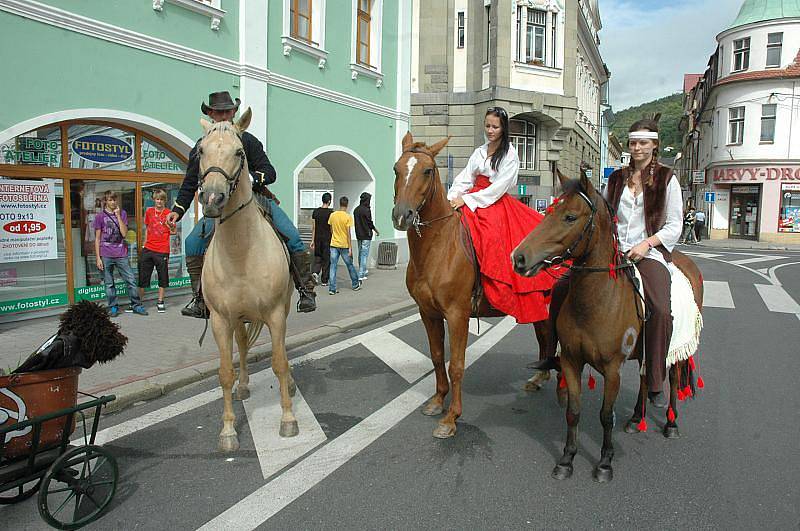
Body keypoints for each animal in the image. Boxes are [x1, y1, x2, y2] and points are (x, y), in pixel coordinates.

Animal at [198, 110, 298, 450]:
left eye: (239, 152)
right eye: (200, 151)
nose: (212, 198)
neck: (240, 250)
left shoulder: (275, 313)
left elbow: (279, 362)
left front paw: (288, 419)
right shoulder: (220, 319)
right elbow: (224, 372)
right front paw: (228, 430)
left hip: (283, 308)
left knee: (281, 351)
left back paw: (290, 384)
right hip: (238, 317)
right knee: (241, 345)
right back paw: (243, 386)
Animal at [390, 134, 552, 440]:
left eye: (427, 171)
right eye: (396, 169)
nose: (402, 215)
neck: (438, 248)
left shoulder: (457, 315)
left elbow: (456, 365)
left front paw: (451, 417)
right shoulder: (428, 313)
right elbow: (437, 356)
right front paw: (437, 401)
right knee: (545, 339)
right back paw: (540, 377)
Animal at [510, 169, 704, 482]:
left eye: (570, 217)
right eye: (548, 212)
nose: (519, 257)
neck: (596, 301)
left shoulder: (612, 369)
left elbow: (605, 415)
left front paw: (604, 462)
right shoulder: (571, 361)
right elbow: (573, 411)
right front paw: (567, 459)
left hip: (675, 348)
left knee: (673, 380)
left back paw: (670, 423)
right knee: (645, 377)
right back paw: (636, 418)